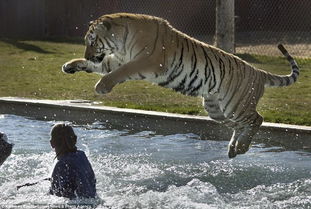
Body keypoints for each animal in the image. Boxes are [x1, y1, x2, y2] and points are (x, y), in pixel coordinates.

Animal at [62, 13, 300, 158]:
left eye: (92, 41)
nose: (88, 54)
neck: (121, 40)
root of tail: (258, 72)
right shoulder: (116, 60)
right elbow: (100, 66)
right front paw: (69, 65)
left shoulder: (144, 61)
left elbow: (118, 73)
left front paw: (101, 86)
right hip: (217, 109)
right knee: (240, 125)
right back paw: (234, 149)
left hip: (236, 104)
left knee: (257, 119)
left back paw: (240, 147)